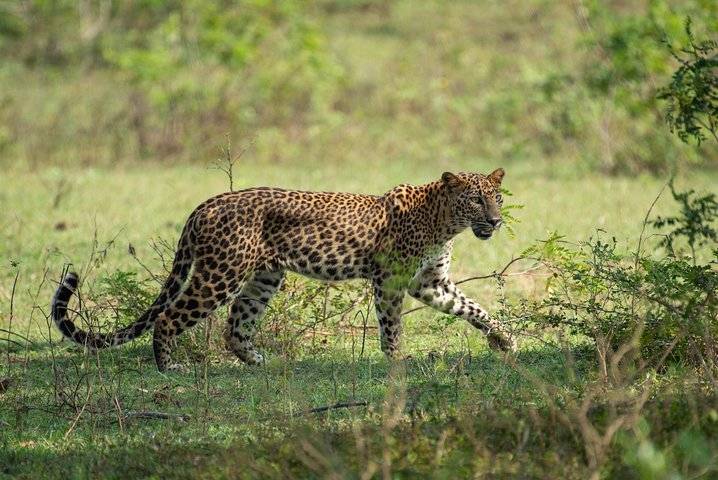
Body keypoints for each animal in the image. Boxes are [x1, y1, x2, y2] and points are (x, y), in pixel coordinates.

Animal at [53, 168, 520, 372]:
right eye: (476, 199)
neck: (445, 222)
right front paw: (396, 360)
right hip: (221, 274)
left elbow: (473, 308)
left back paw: (259, 361)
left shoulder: (431, 283)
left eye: (496, 197)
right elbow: (392, 325)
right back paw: (170, 368)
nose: (496, 221)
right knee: (169, 317)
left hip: (263, 277)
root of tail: (204, 205)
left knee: (235, 325)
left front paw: (504, 340)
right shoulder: (391, 281)